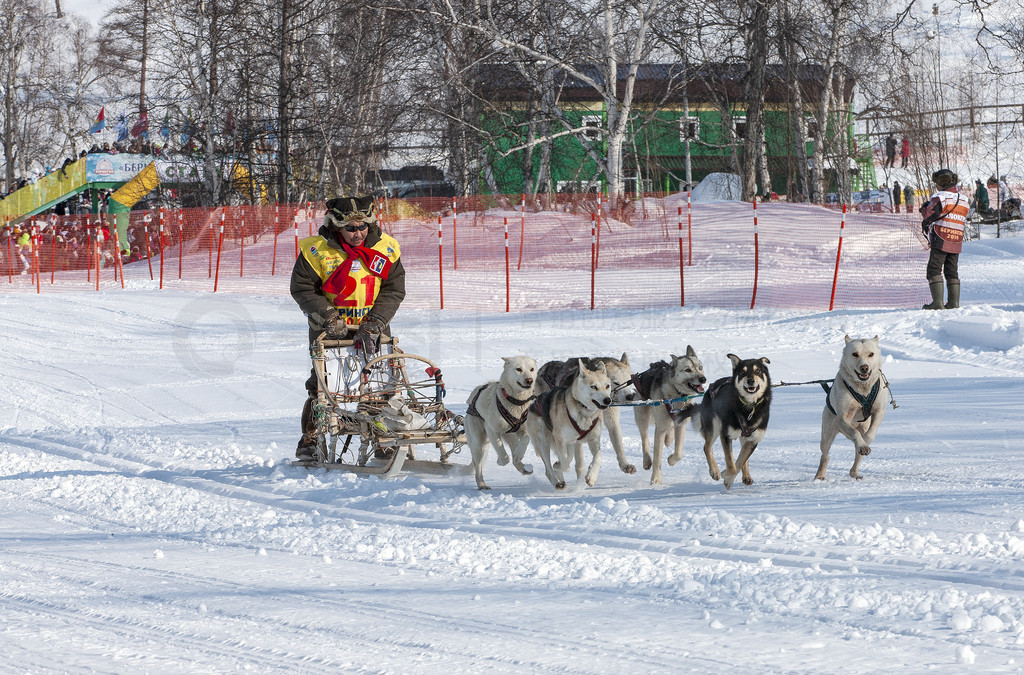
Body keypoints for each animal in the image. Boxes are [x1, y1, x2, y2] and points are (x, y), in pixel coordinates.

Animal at [466, 356, 540, 487]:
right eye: (518, 369)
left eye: (532, 369)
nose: (529, 380)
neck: (516, 402)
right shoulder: (492, 430)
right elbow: (504, 455)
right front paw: (500, 461)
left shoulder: (523, 429)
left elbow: (525, 439)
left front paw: (519, 455)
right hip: (478, 443)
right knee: (478, 464)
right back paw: (482, 484)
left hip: (510, 436)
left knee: (515, 450)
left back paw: (522, 466)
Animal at [524, 358, 610, 491]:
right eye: (594, 387)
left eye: (607, 386)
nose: (607, 400)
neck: (584, 411)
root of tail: (534, 403)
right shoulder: (561, 440)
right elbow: (566, 463)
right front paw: (558, 466)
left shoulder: (593, 439)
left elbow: (598, 456)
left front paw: (591, 477)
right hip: (543, 441)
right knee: (549, 469)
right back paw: (557, 482)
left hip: (568, 444)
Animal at [630, 348, 704, 485]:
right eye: (688, 370)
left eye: (700, 367)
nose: (703, 379)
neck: (677, 395)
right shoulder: (660, 429)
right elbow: (657, 458)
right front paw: (655, 480)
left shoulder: (681, 425)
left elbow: (679, 453)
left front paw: (671, 460)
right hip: (642, 418)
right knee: (645, 440)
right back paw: (647, 461)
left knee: (670, 432)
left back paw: (669, 439)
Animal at [692, 354, 770, 491]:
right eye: (742, 372)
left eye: (758, 371)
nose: (750, 380)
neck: (749, 407)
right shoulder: (726, 435)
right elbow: (732, 464)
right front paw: (726, 476)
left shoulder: (753, 440)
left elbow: (740, 462)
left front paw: (729, 479)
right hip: (714, 426)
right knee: (707, 447)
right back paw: (715, 471)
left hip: (744, 437)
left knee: (742, 456)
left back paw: (746, 476)